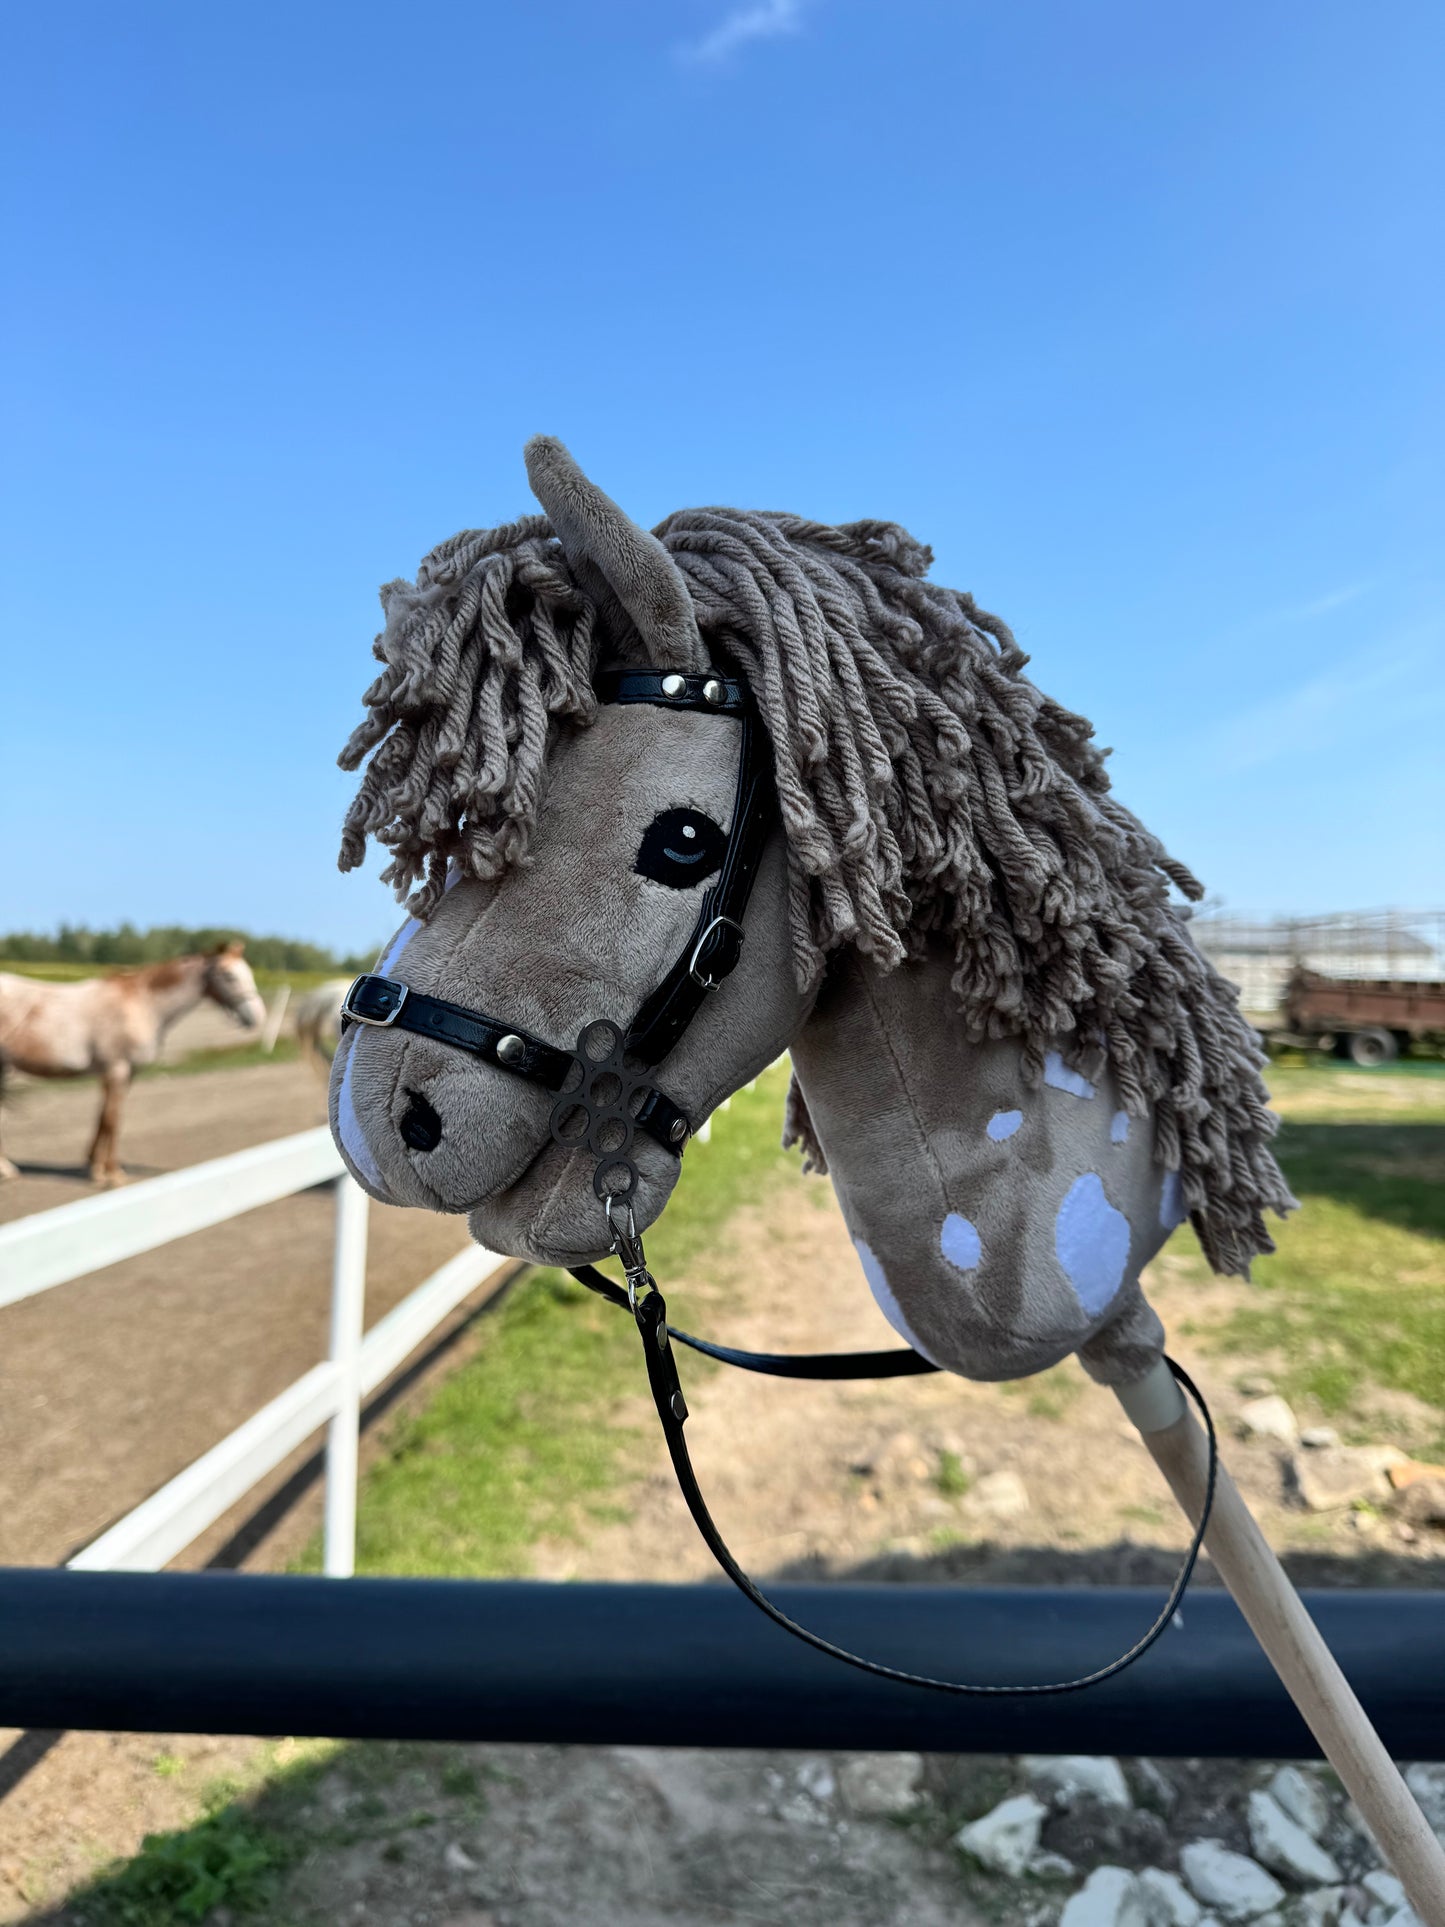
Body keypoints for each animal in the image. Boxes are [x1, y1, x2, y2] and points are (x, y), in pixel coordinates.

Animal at [0, 944, 265, 1184]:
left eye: (250, 973)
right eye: (229, 975)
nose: (257, 1017)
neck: (142, 1004)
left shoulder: (125, 1073)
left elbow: (103, 1117)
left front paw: (94, 1163)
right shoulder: (117, 1069)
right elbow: (112, 1119)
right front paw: (109, 1172)